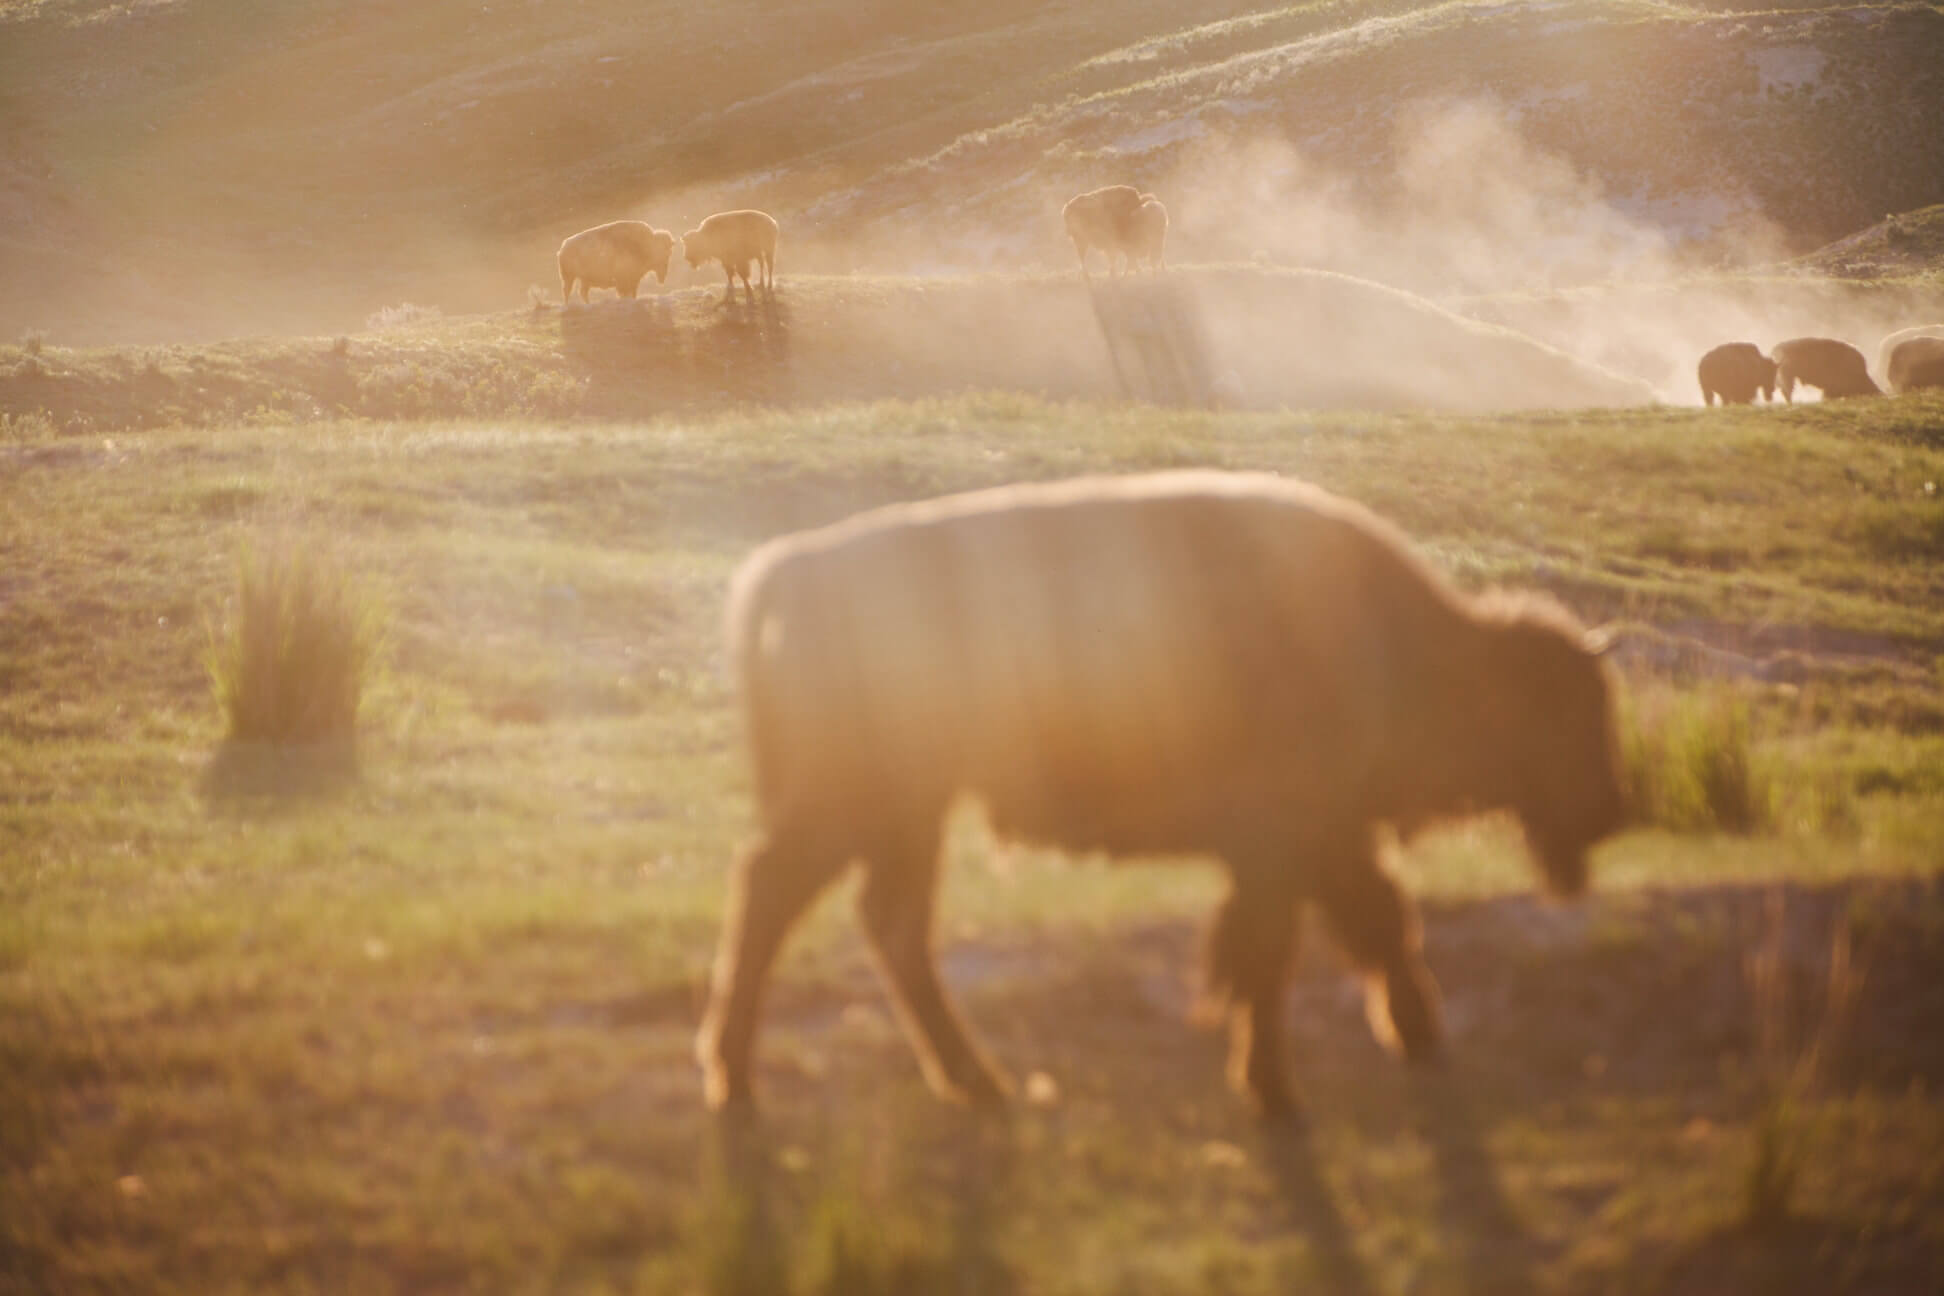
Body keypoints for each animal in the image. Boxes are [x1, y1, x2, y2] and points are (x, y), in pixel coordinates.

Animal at [699, 472, 1625, 1119]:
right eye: (1563, 714)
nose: (1612, 808)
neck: (1407, 646)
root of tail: (792, 568)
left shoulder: (1317, 843)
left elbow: (1370, 924)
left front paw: (1416, 1037)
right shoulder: (1285, 845)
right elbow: (1276, 953)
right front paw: (1278, 1090)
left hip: (908, 813)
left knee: (889, 925)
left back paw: (978, 1084)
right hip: (855, 804)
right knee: (774, 898)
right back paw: (737, 1082)